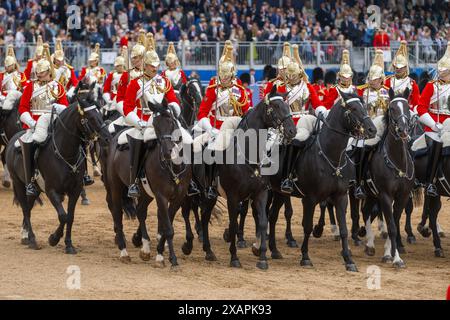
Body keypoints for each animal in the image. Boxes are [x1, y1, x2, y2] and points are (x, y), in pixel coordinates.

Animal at [5, 81, 110, 254]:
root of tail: (14, 139)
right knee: (26, 209)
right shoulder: (51, 190)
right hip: (20, 184)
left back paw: (25, 235)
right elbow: (63, 216)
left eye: (101, 114)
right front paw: (53, 239)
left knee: (29, 207)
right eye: (89, 117)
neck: (64, 153)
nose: (107, 138)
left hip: (35, 188)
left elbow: (70, 216)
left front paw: (68, 244)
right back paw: (32, 239)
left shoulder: (74, 190)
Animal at [106, 99, 192, 264]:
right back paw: (124, 251)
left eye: (171, 121)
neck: (174, 167)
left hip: (145, 193)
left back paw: (145, 248)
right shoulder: (161, 196)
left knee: (140, 210)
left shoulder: (178, 197)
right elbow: (168, 229)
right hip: (115, 186)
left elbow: (166, 225)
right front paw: (168, 258)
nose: (167, 152)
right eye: (155, 125)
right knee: (117, 213)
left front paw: (160, 252)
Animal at [268, 91, 376, 272]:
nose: (372, 129)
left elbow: (344, 229)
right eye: (353, 108)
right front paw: (305, 256)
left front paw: (348, 259)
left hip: (279, 192)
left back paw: (273, 250)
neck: (331, 155)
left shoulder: (341, 196)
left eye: (364, 106)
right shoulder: (310, 199)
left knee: (272, 216)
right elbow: (307, 226)